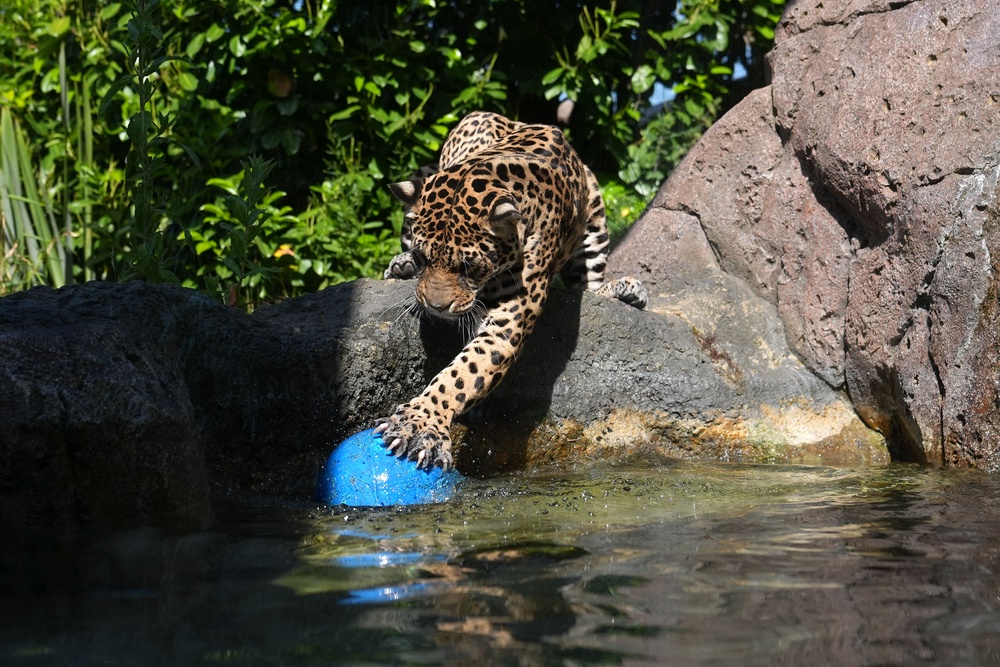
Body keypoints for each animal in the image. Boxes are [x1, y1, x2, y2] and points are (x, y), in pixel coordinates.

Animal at [375, 111, 647, 470]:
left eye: (469, 267)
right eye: (424, 257)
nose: (436, 307)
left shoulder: (510, 317)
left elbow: (462, 375)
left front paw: (419, 424)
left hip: (595, 217)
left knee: (589, 284)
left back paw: (627, 291)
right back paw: (398, 266)